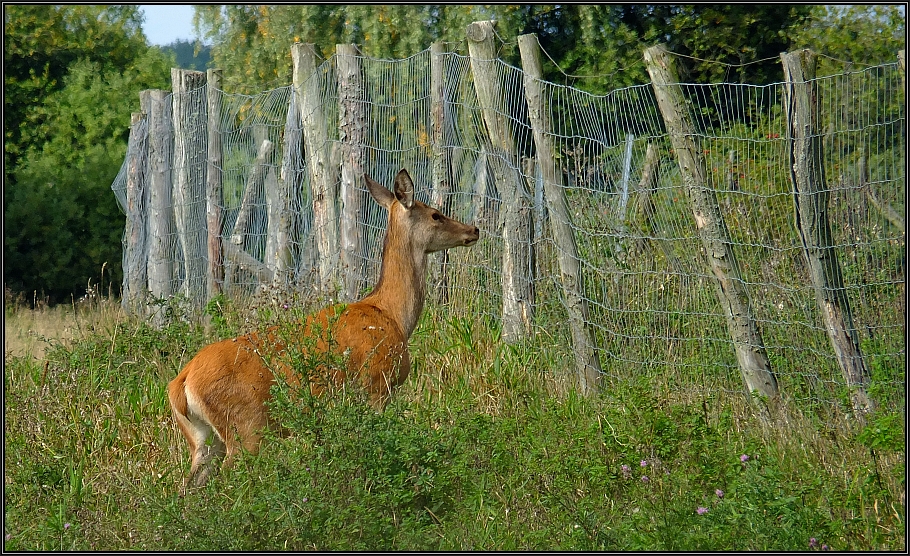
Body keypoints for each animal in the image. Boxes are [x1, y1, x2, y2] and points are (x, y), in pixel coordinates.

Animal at [169, 167, 484, 488]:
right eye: (436, 215)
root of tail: (181, 382)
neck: (392, 314)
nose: (473, 230)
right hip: (246, 426)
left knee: (188, 486)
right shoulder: (378, 384)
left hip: (203, 438)